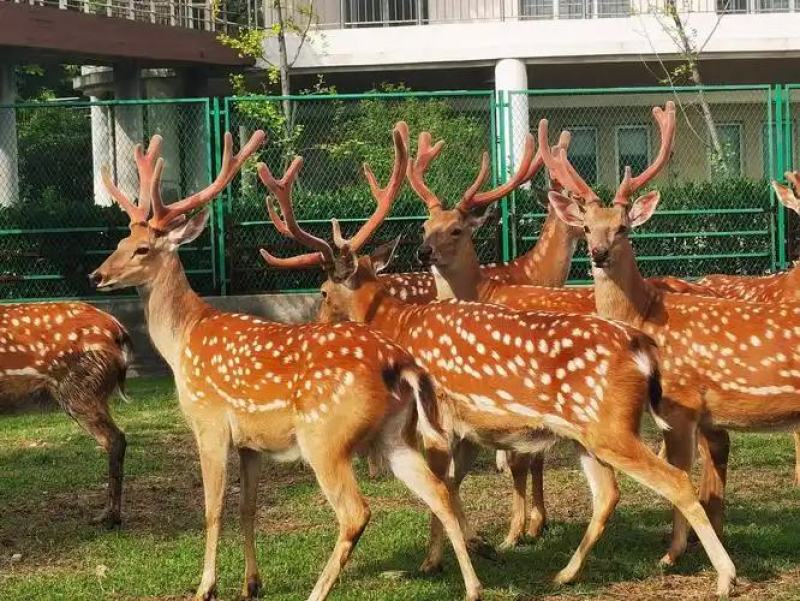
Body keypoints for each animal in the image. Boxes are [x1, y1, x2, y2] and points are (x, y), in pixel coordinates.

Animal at [88, 129, 482, 601]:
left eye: (142, 249)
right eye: (118, 244)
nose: (97, 275)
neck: (183, 339)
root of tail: (398, 362)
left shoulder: (209, 420)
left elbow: (213, 509)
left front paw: (205, 587)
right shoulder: (251, 441)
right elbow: (247, 508)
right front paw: (251, 584)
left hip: (325, 435)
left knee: (356, 511)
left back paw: (318, 591)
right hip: (394, 434)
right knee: (439, 490)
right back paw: (473, 587)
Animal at [260, 121, 737, 598]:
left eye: (323, 291)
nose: (316, 325)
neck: (398, 323)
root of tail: (641, 345)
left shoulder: (440, 419)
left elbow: (443, 486)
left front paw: (435, 561)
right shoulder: (471, 428)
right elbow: (454, 484)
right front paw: (484, 545)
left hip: (611, 427)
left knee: (676, 478)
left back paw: (721, 573)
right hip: (590, 434)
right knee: (613, 491)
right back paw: (566, 572)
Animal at [532, 99, 800, 569]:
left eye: (623, 226)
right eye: (586, 226)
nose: (598, 254)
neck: (649, 317)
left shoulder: (681, 402)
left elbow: (680, 478)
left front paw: (672, 554)